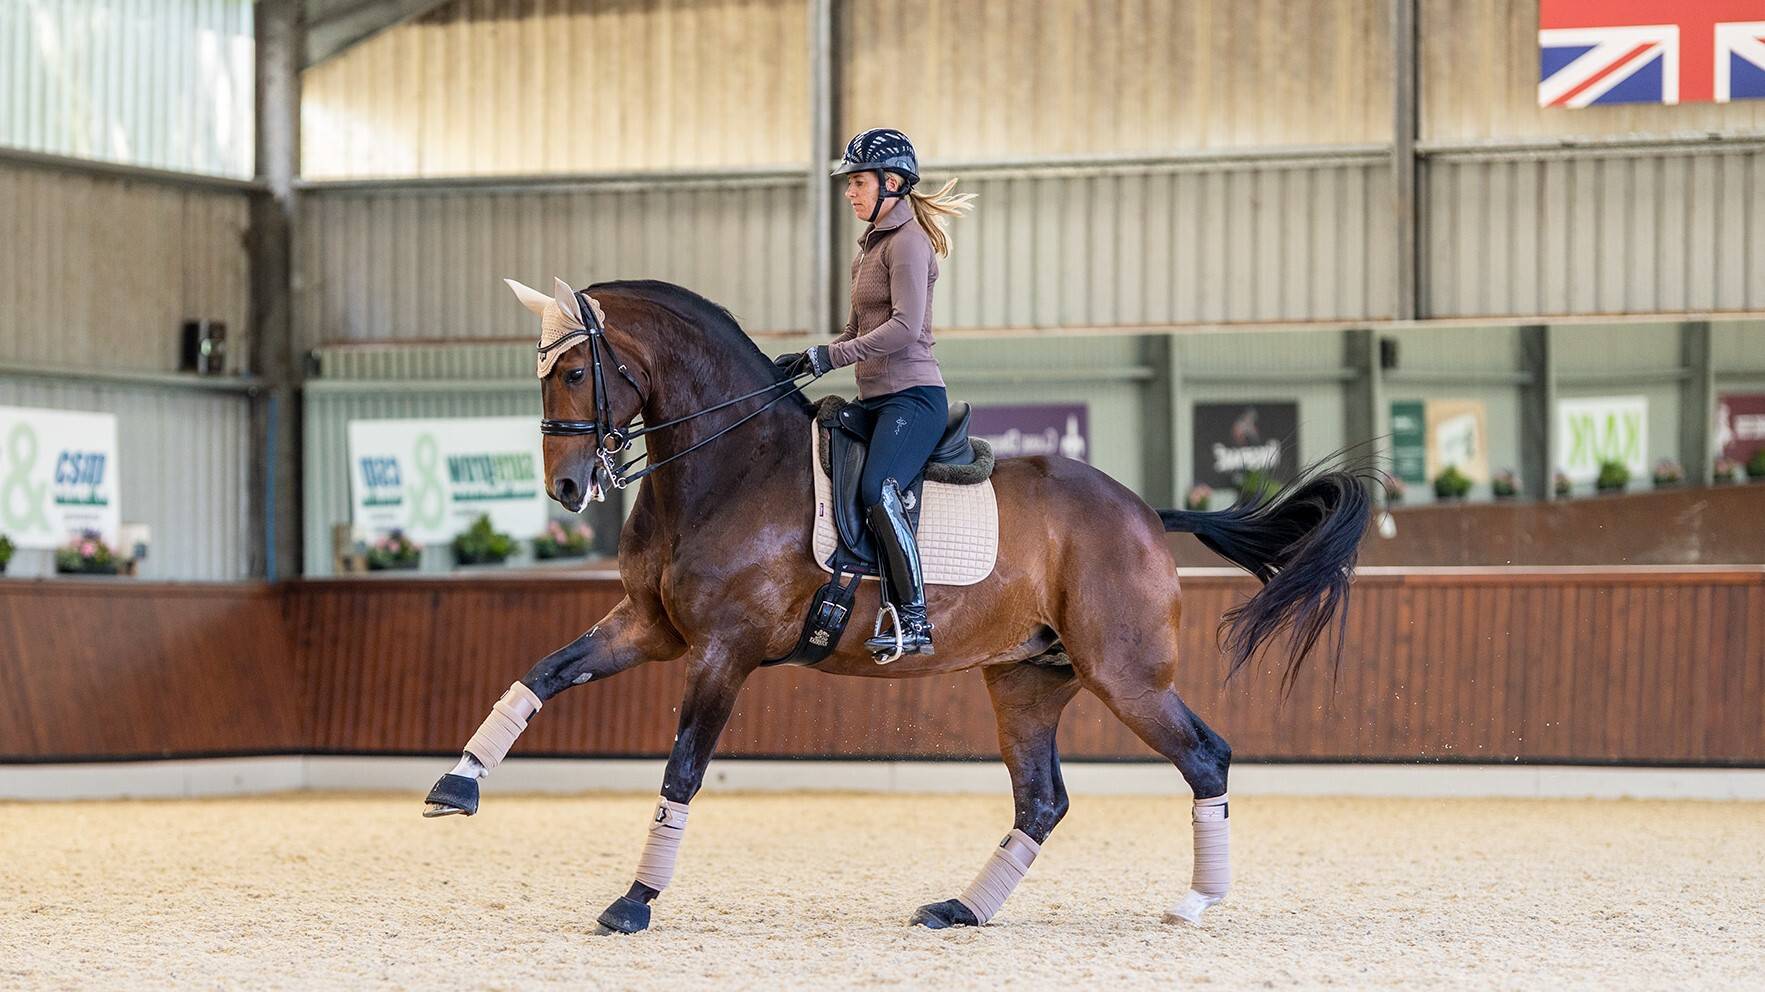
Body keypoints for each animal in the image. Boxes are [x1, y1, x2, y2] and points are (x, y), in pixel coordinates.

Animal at [420, 275, 1369, 924]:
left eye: (576, 373)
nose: (567, 487)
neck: (726, 465)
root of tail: (1142, 510)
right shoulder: (651, 627)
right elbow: (542, 673)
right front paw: (456, 786)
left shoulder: (724, 650)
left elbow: (682, 768)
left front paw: (635, 901)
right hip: (1026, 679)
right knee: (1042, 799)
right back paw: (964, 910)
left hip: (1125, 675)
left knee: (1205, 758)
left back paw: (1196, 901)